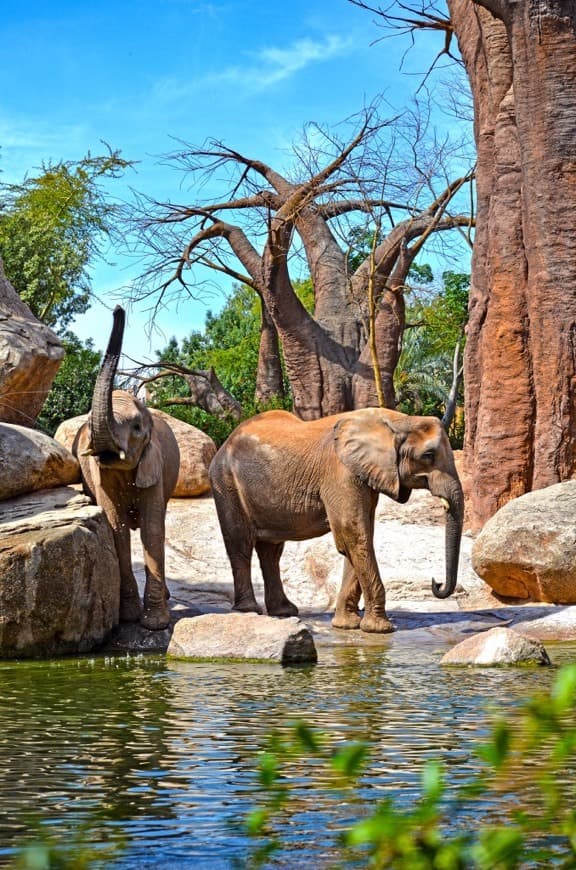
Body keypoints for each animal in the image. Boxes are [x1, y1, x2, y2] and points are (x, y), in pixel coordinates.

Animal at [73, 308, 179, 632]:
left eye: (136, 428)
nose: (118, 310)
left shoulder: (154, 467)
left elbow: (153, 529)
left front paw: (155, 624)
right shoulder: (100, 477)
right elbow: (117, 528)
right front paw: (129, 617)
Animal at [209, 408, 466, 632]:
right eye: (428, 455)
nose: (436, 583)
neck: (398, 420)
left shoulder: (363, 473)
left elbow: (358, 536)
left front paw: (346, 625)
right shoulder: (340, 472)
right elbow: (353, 533)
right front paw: (380, 629)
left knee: (271, 552)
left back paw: (284, 611)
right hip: (225, 482)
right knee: (240, 545)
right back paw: (248, 610)